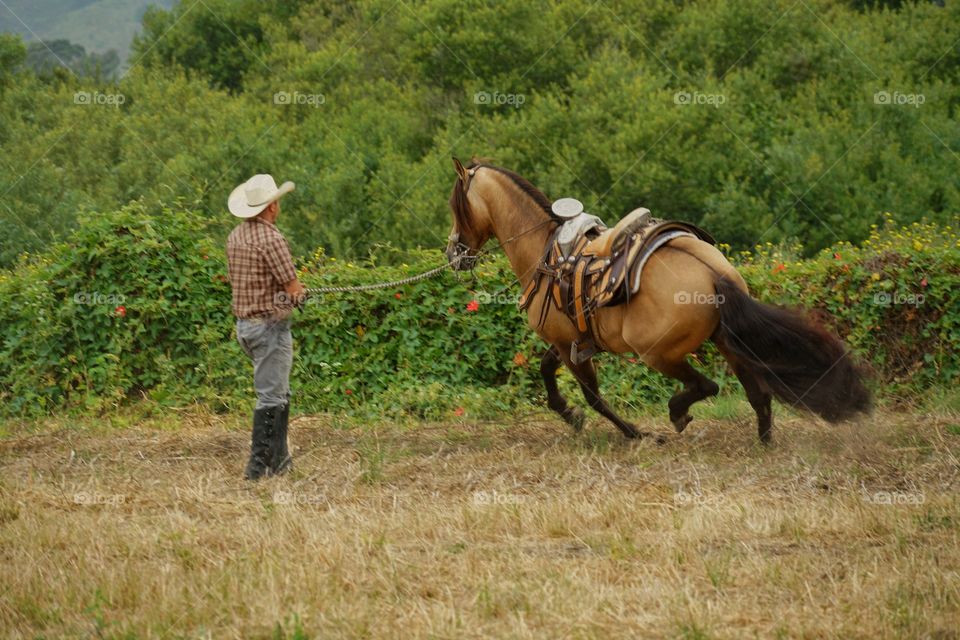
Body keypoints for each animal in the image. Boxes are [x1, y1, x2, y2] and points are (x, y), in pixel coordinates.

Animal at [444, 158, 871, 443]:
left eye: (455, 205)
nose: (453, 253)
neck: (546, 253)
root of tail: (712, 273)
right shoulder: (569, 341)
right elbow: (549, 372)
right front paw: (570, 415)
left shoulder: (567, 345)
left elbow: (592, 395)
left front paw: (633, 432)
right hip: (726, 341)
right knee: (757, 393)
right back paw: (763, 441)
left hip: (658, 354)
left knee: (707, 385)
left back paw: (677, 414)